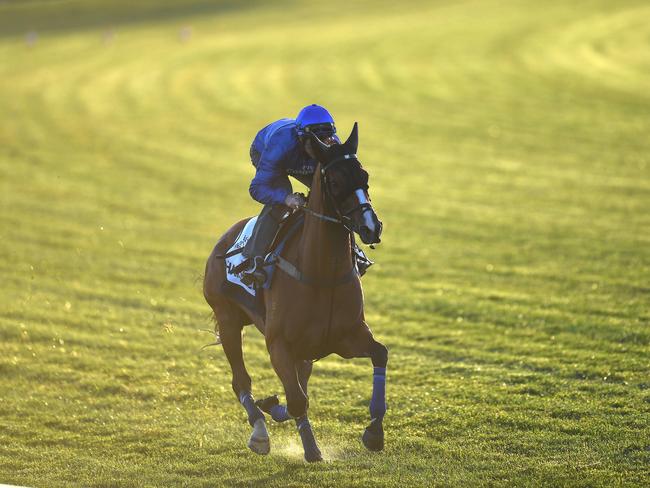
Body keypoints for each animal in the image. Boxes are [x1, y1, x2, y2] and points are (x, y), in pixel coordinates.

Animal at [202, 123, 384, 462]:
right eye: (336, 181)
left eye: (365, 176)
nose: (371, 227)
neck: (322, 273)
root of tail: (225, 237)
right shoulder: (279, 345)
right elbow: (298, 399)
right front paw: (310, 448)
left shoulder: (346, 336)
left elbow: (380, 354)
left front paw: (374, 433)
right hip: (228, 320)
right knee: (241, 381)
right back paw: (260, 432)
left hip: (305, 350)